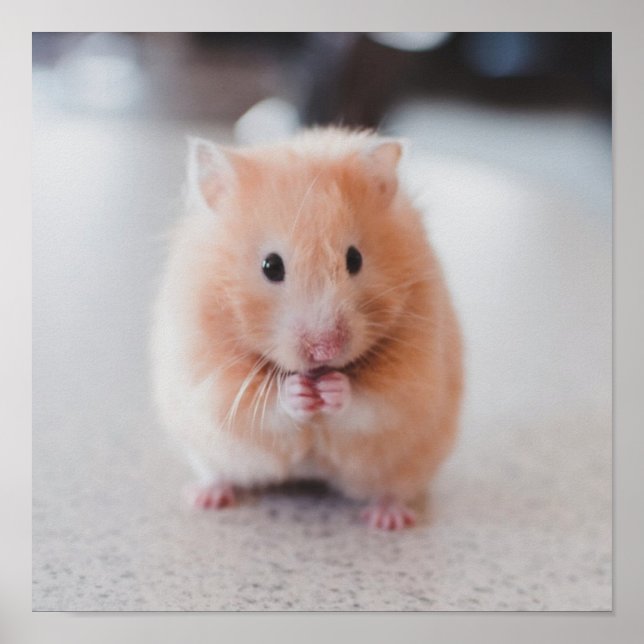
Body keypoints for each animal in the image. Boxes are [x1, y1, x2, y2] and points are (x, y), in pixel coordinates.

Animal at [150, 127, 463, 530]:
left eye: (355, 259)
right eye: (271, 266)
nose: (324, 350)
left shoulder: (412, 382)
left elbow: (371, 403)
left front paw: (332, 389)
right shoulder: (211, 379)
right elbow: (263, 406)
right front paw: (299, 392)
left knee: (392, 489)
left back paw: (388, 519)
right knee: (218, 472)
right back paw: (205, 497)